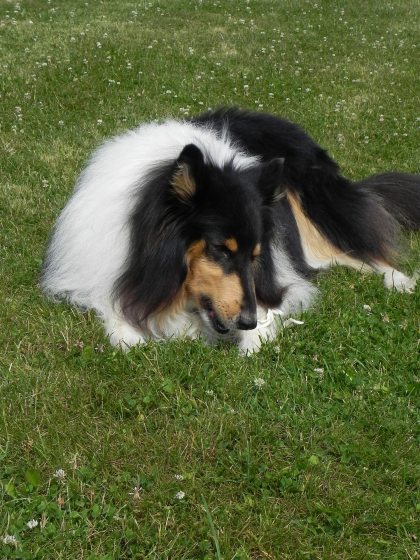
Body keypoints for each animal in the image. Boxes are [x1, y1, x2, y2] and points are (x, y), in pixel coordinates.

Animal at [41, 107, 420, 352]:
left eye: (255, 256)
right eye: (220, 249)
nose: (248, 321)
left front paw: (255, 338)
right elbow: (120, 323)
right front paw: (133, 330)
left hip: (316, 211)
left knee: (361, 246)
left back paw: (399, 279)